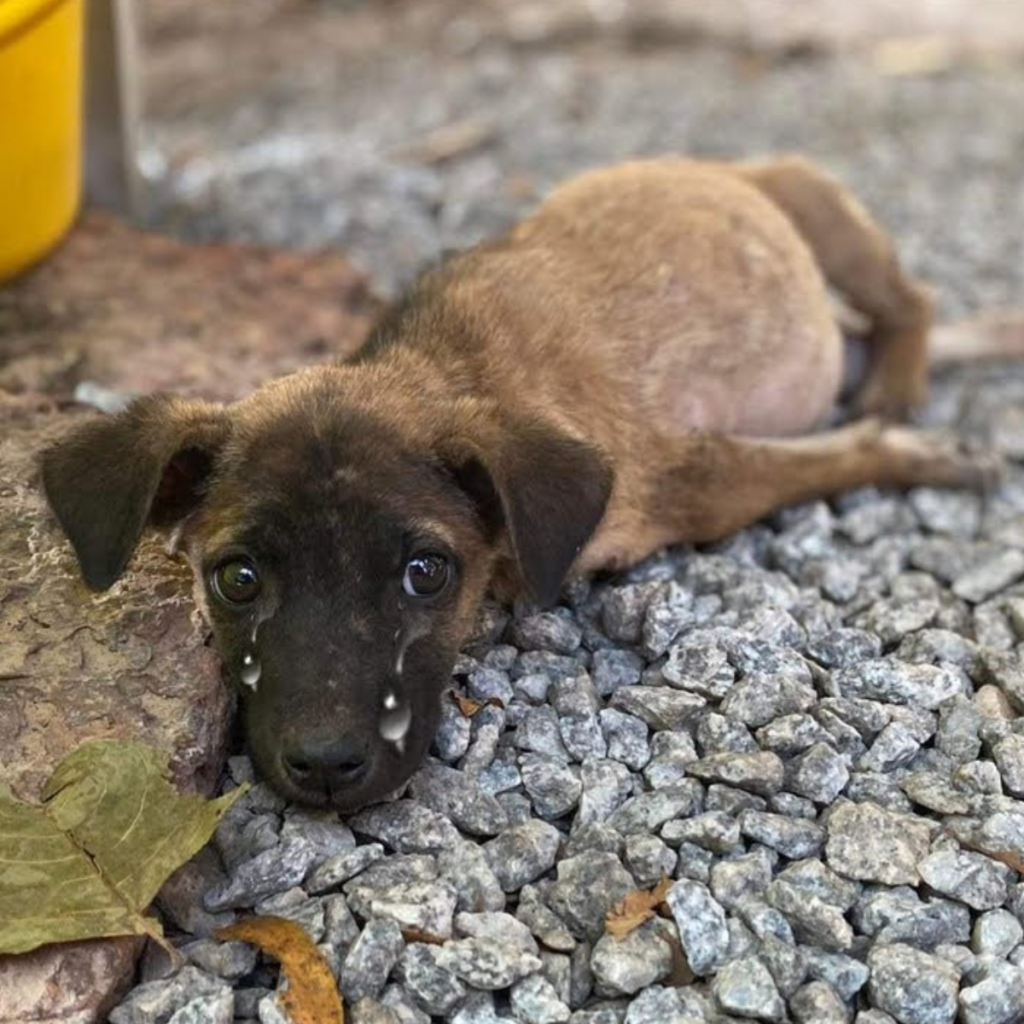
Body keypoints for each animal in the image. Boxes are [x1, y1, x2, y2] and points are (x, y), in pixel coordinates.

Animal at [41, 155, 999, 806]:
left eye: (427, 573)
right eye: (235, 579)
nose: (324, 769)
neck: (443, 366)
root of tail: (715, 165)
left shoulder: (690, 473)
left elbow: (828, 459)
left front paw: (918, 451)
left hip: (817, 208)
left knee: (910, 299)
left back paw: (899, 377)